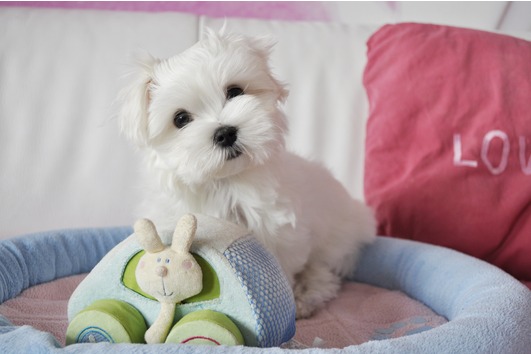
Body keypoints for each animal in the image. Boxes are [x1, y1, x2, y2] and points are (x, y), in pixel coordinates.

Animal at [119, 30, 378, 318]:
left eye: (234, 91)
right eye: (181, 119)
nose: (225, 133)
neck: (223, 183)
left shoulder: (279, 232)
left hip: (336, 241)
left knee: (323, 270)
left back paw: (306, 294)